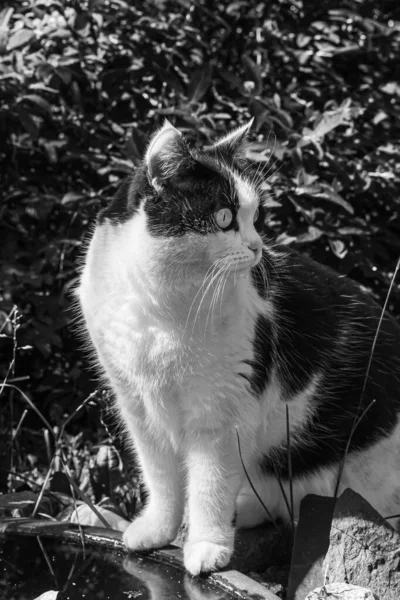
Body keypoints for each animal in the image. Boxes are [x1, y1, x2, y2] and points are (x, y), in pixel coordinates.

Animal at [77, 119, 400, 576]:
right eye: (224, 217)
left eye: (254, 217)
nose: (257, 248)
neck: (161, 304)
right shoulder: (137, 405)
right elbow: (160, 477)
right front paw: (157, 531)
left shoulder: (221, 412)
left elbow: (209, 483)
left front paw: (206, 547)